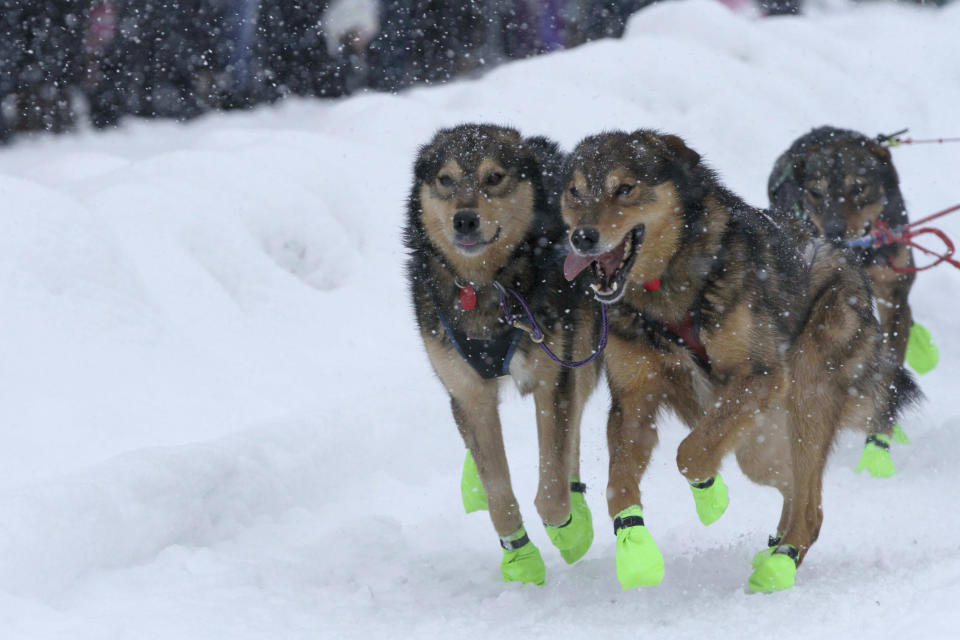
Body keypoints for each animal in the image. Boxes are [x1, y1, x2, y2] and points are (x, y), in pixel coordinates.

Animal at [404, 124, 600, 584]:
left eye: (494, 178)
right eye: (446, 180)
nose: (464, 218)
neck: (485, 286)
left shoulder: (552, 380)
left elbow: (552, 487)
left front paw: (571, 531)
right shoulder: (468, 394)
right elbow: (497, 490)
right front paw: (520, 557)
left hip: (581, 353)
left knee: (574, 434)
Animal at [564, 130, 924, 596]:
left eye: (624, 188)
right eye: (575, 192)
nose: (582, 237)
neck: (667, 293)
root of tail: (846, 257)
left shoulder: (759, 377)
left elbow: (691, 453)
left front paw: (709, 493)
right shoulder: (633, 400)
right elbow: (617, 487)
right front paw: (636, 552)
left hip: (806, 391)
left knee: (811, 508)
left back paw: (781, 563)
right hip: (761, 443)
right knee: (795, 488)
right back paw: (772, 548)